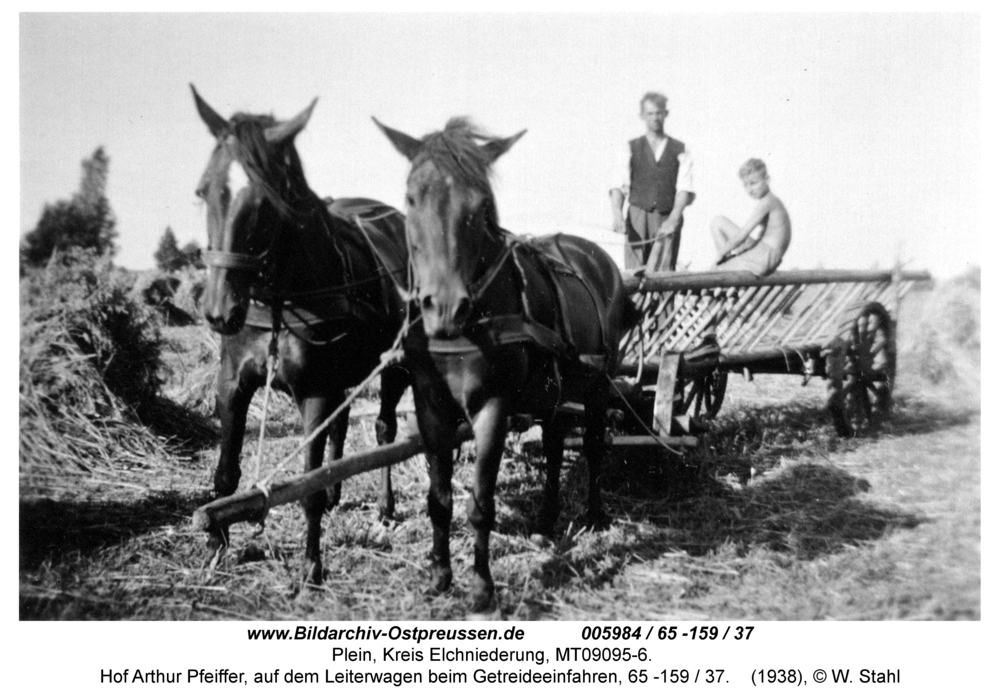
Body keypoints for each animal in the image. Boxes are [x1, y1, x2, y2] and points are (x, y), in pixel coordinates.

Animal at [191, 88, 410, 588]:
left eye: (266, 202)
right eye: (204, 190)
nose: (219, 310)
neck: (280, 298)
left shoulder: (314, 389)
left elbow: (306, 485)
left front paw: (311, 564)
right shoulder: (232, 384)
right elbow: (226, 473)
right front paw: (215, 546)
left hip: (396, 365)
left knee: (385, 430)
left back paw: (384, 508)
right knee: (343, 427)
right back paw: (336, 493)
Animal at [378, 117, 636, 608]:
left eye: (481, 206)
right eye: (411, 197)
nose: (446, 307)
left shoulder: (493, 408)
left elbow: (481, 504)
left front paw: (481, 588)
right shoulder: (430, 406)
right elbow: (439, 499)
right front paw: (439, 576)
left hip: (598, 383)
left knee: (593, 445)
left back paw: (594, 514)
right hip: (558, 388)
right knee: (554, 445)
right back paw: (545, 521)